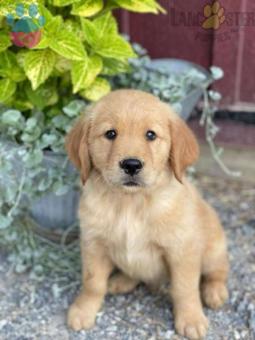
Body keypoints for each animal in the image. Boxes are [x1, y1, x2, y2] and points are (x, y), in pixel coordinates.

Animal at [64, 89, 228, 338]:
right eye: (110, 133)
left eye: (151, 135)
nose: (131, 165)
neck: (131, 203)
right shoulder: (93, 244)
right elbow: (92, 283)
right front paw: (83, 311)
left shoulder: (182, 250)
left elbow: (184, 288)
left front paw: (191, 319)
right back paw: (121, 281)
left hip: (213, 249)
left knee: (218, 271)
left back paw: (215, 292)